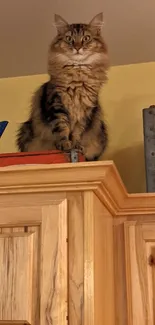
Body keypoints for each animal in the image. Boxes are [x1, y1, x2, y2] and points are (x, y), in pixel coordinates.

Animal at [16, 13, 109, 160]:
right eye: (69, 38)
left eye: (86, 38)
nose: (77, 47)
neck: (78, 74)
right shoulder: (56, 105)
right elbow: (62, 128)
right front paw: (65, 144)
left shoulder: (85, 111)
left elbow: (77, 132)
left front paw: (76, 145)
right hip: (26, 130)